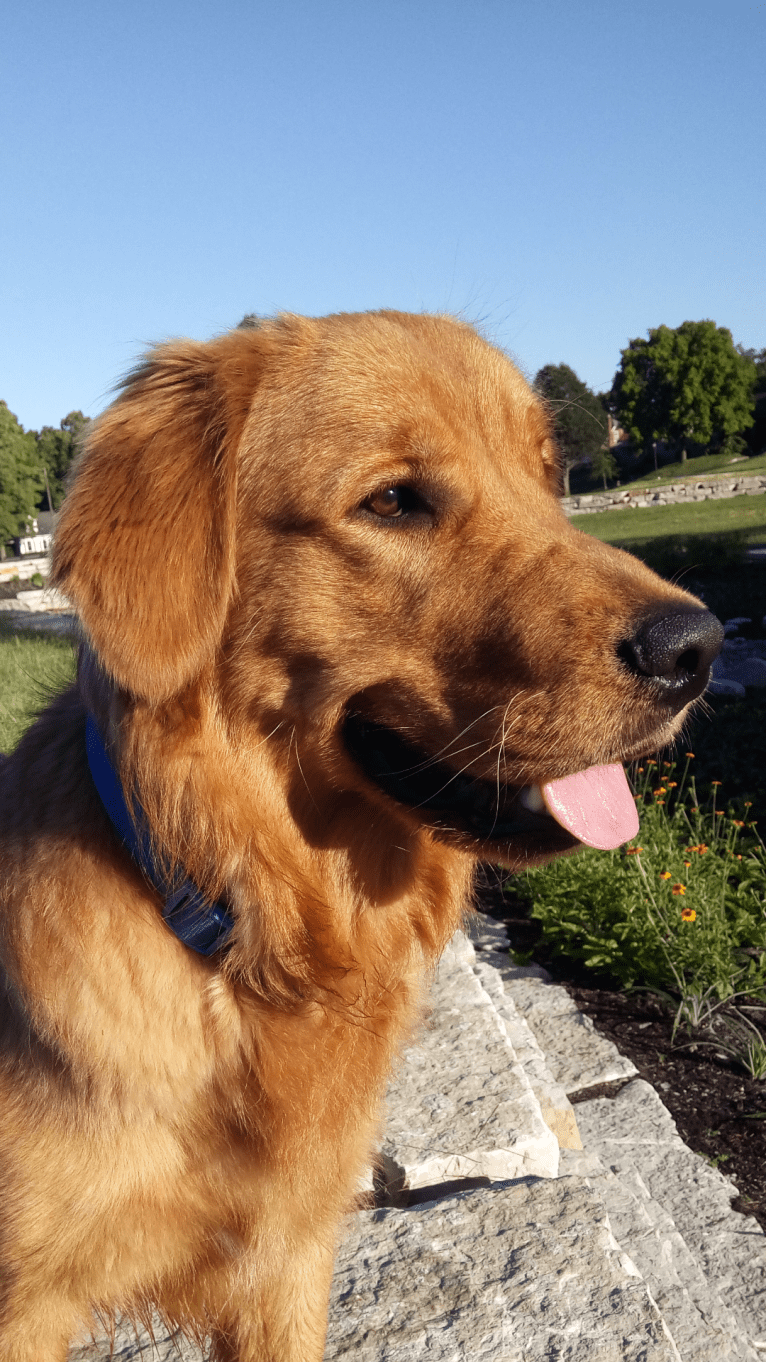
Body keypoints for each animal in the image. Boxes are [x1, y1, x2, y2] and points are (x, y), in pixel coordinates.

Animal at [0, 311, 719, 1362]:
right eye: (392, 502)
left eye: (548, 475)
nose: (695, 649)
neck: (246, 926)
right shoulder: (29, 1301)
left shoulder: (286, 1264)